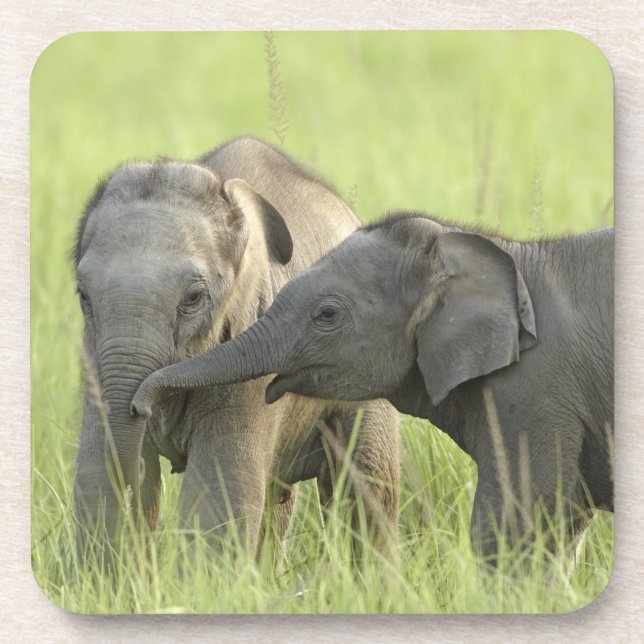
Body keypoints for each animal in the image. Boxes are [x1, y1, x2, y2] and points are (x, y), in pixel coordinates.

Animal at [72, 137, 399, 564]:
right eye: (83, 297)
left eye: (193, 298)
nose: (140, 407)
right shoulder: (93, 353)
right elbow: (95, 479)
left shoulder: (253, 350)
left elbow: (216, 497)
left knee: (368, 484)